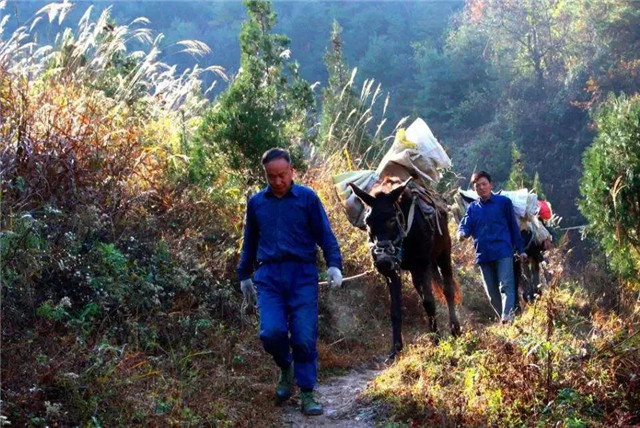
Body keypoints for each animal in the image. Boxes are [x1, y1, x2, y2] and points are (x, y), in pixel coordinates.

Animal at [349, 176, 462, 360]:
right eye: (367, 222)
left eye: (392, 220)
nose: (382, 261)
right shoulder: (393, 271)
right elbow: (395, 309)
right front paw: (396, 349)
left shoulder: (423, 264)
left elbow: (429, 302)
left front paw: (436, 340)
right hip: (415, 271)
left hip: (443, 253)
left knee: (448, 290)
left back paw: (455, 329)